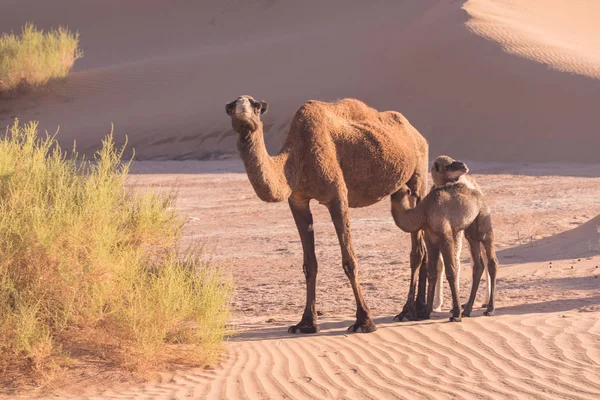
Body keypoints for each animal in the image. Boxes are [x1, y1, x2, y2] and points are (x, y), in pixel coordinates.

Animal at [225, 95, 426, 332]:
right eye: (231, 107)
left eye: (256, 106)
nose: (242, 114)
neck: (296, 159)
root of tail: (416, 132)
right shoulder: (298, 201)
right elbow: (309, 264)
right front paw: (306, 323)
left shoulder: (337, 196)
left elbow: (349, 260)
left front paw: (364, 321)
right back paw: (420, 310)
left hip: (418, 174)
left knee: (418, 248)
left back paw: (407, 311)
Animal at [392, 156, 500, 322]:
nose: (463, 165)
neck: (423, 212)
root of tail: (479, 193)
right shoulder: (430, 238)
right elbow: (432, 271)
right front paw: (426, 312)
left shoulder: (445, 235)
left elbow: (451, 270)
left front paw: (456, 314)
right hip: (470, 232)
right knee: (478, 264)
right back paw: (468, 310)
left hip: (484, 223)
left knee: (492, 261)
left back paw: (489, 309)